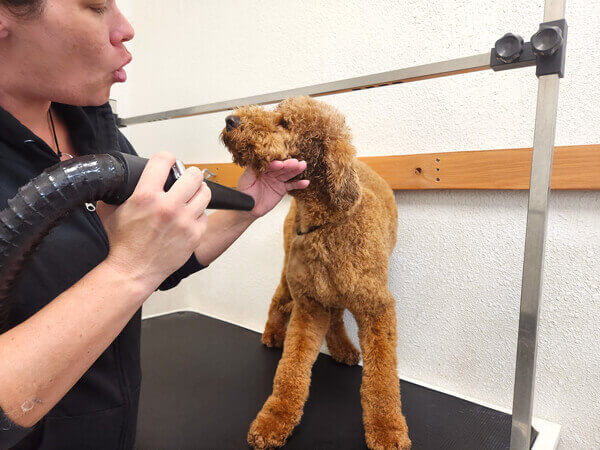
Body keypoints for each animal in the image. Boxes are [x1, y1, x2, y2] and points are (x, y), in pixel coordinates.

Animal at [221, 96, 412, 448]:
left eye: (285, 122)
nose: (231, 120)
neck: (328, 222)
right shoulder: (308, 305)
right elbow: (291, 368)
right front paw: (274, 420)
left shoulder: (375, 308)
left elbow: (383, 378)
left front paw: (387, 430)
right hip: (291, 271)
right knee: (279, 299)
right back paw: (273, 335)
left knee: (335, 316)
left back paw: (342, 349)